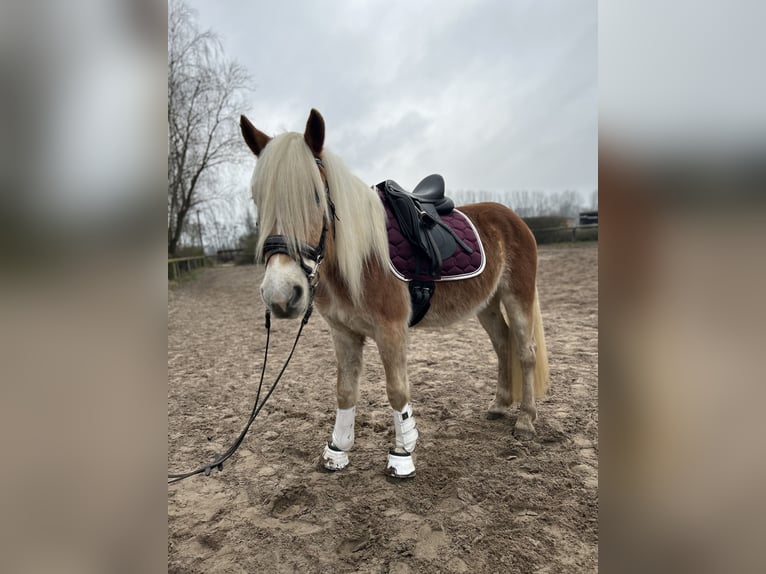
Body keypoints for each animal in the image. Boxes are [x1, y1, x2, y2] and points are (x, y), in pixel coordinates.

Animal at [238, 110, 544, 480]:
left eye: (314, 195)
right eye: (257, 199)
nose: (281, 295)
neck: (359, 259)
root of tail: (512, 217)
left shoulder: (391, 330)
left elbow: (397, 392)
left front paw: (402, 455)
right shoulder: (343, 332)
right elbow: (345, 390)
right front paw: (337, 451)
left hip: (517, 296)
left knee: (525, 352)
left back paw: (525, 421)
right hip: (486, 304)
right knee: (502, 344)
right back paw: (499, 405)